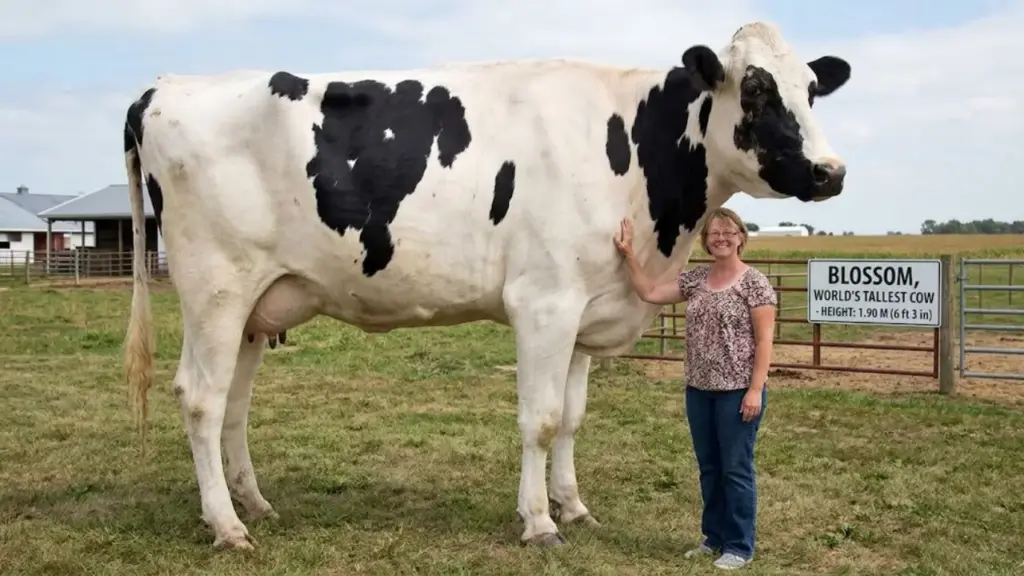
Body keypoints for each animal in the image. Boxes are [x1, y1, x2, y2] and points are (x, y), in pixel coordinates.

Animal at [121, 20, 850, 551]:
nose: (830, 171)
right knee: (201, 399)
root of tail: (161, 88)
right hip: (215, 288)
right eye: (754, 90)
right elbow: (541, 418)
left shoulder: (586, 308)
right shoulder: (544, 302)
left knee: (234, 405)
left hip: (256, 305)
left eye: (814, 89)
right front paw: (540, 523)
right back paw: (227, 527)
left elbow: (572, 419)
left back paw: (253, 504)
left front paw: (573, 506)